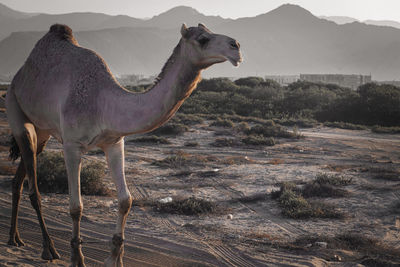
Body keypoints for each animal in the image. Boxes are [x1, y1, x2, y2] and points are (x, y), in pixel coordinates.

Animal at [6, 23, 242, 267]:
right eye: (203, 39)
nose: (236, 46)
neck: (104, 104)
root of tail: (19, 75)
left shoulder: (114, 142)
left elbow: (125, 200)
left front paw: (114, 258)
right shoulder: (71, 145)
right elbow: (76, 207)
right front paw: (77, 258)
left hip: (43, 132)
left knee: (20, 178)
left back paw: (15, 238)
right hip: (15, 108)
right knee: (34, 186)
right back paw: (48, 248)